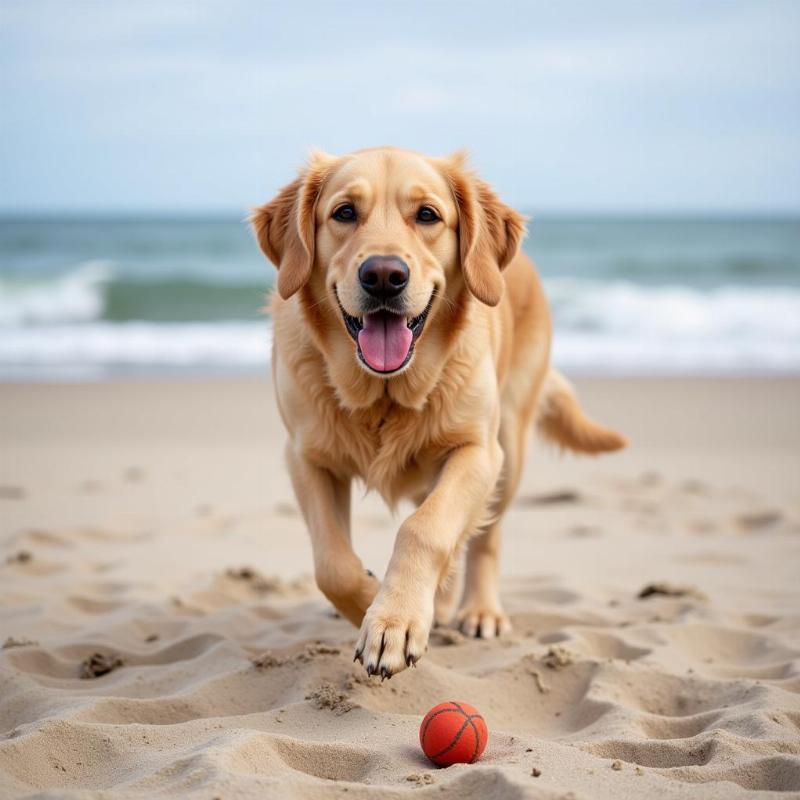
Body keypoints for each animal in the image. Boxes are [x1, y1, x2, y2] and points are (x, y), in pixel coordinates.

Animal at [250, 147, 624, 680]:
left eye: (427, 215)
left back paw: (479, 611)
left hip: (510, 446)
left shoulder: (477, 451)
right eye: (344, 212)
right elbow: (332, 564)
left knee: (484, 538)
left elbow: (424, 529)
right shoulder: (306, 456)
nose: (384, 275)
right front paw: (373, 601)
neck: (385, 394)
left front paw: (395, 617)